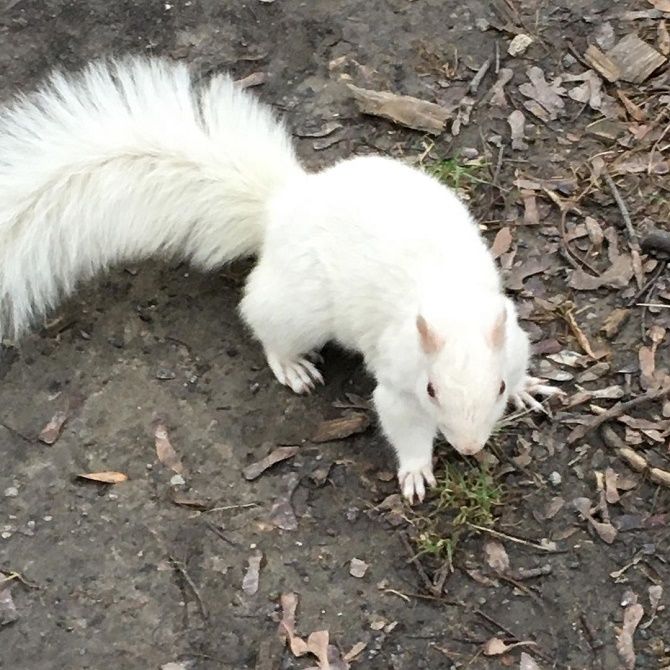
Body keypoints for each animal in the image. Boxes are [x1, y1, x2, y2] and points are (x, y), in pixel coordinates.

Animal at [0, 57, 560, 504]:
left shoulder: (511, 336)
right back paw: (291, 365)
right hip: (300, 305)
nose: (469, 446)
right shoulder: (397, 378)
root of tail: (283, 207)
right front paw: (417, 470)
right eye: (430, 389)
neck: (449, 299)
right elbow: (401, 425)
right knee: (261, 321)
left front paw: (529, 388)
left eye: (498, 385)